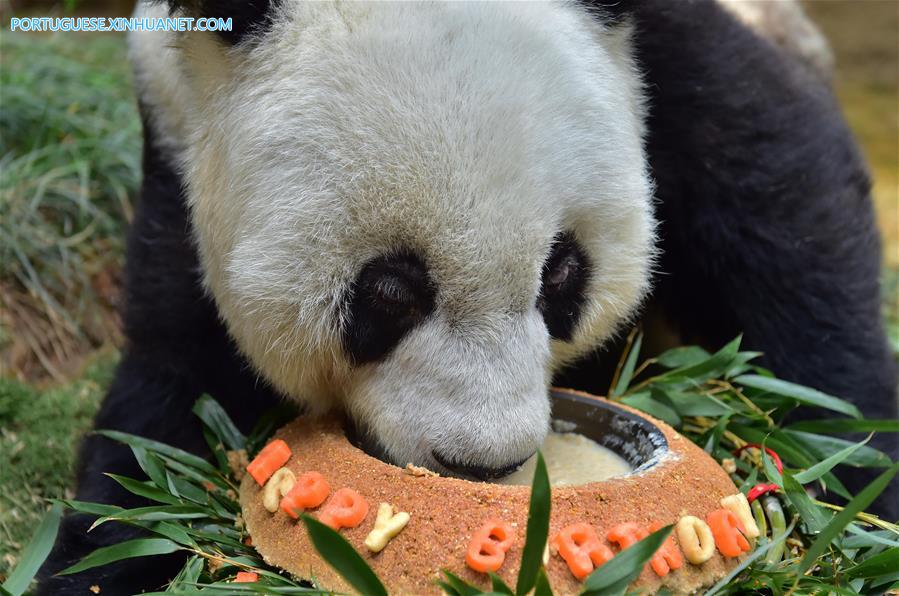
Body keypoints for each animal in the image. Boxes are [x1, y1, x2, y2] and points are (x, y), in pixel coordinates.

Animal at [39, 0, 897, 593]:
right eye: (389, 291)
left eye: (561, 275)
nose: (484, 465)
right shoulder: (177, 133)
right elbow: (170, 385)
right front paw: (96, 555)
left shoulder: (670, 52)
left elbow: (782, 210)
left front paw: (859, 490)